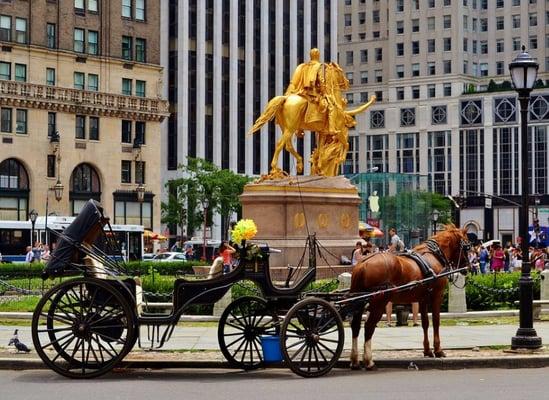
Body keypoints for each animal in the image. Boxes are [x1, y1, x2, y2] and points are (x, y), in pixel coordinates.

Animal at [348, 227, 468, 370]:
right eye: (467, 246)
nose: (467, 266)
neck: (434, 255)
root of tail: (363, 264)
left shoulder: (422, 299)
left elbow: (425, 323)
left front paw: (427, 350)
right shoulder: (437, 296)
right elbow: (436, 322)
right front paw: (438, 350)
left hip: (359, 302)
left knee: (355, 325)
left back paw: (355, 360)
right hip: (379, 303)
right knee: (369, 327)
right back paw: (368, 360)